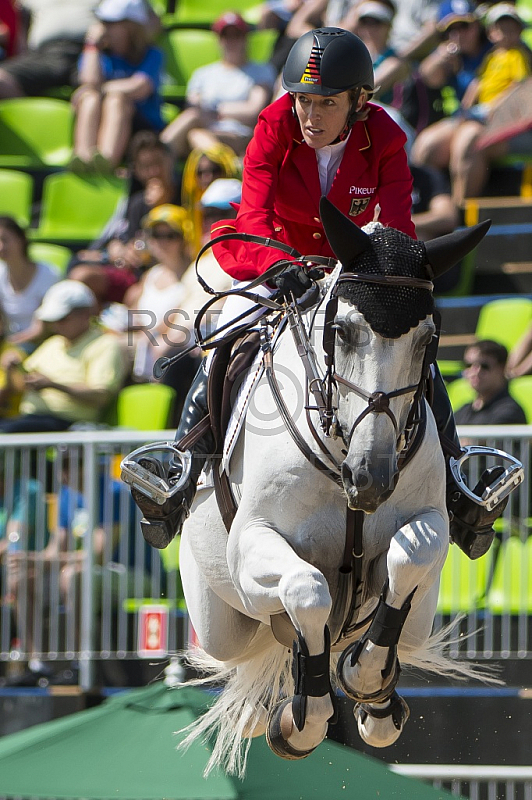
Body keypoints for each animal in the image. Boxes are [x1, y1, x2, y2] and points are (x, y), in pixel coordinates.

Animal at [175, 200, 494, 776]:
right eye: (342, 331)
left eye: (429, 340)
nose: (372, 478)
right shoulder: (253, 543)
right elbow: (306, 589)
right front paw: (302, 722)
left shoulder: (428, 523)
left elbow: (408, 560)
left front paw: (365, 681)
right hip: (220, 622)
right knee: (248, 647)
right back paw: (258, 712)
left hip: (420, 618)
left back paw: (376, 704)